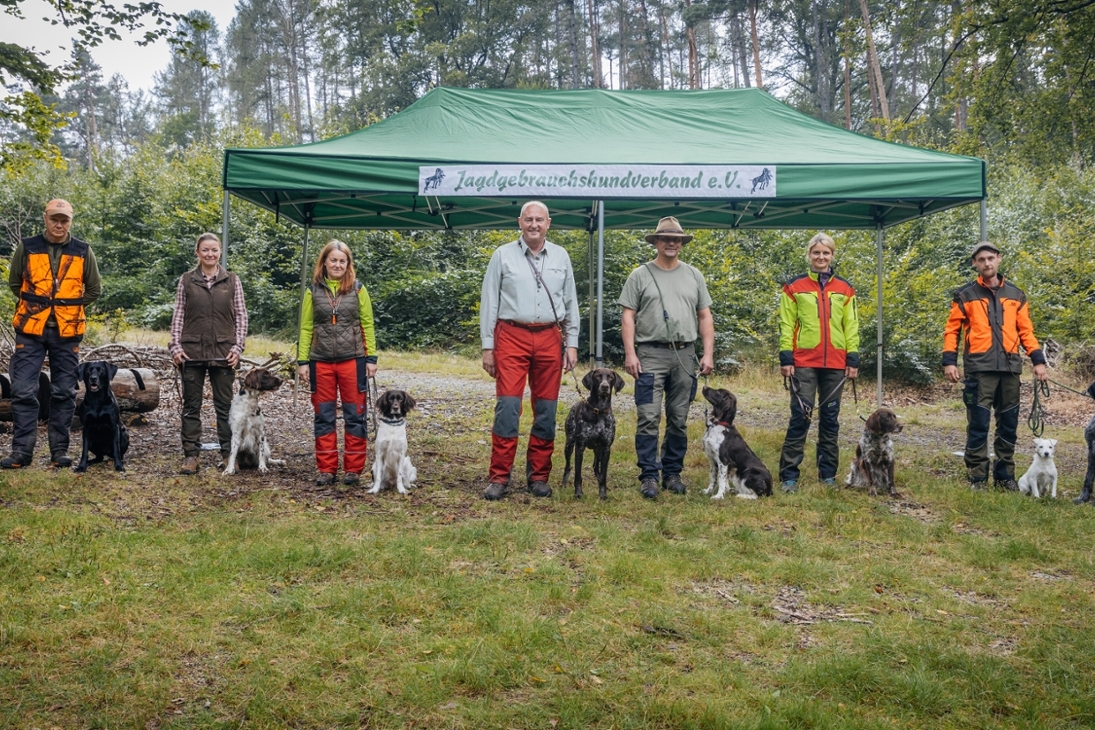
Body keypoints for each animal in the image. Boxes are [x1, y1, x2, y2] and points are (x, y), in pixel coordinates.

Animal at [565, 367, 626, 499]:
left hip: (598, 450)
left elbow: (603, 475)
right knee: (568, 466)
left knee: (596, 467)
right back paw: (563, 482)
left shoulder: (606, 448)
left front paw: (603, 494)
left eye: (610, 377)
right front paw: (578, 492)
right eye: (598, 376)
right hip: (569, 445)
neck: (600, 410)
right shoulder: (580, 447)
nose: (605, 386)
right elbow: (578, 475)